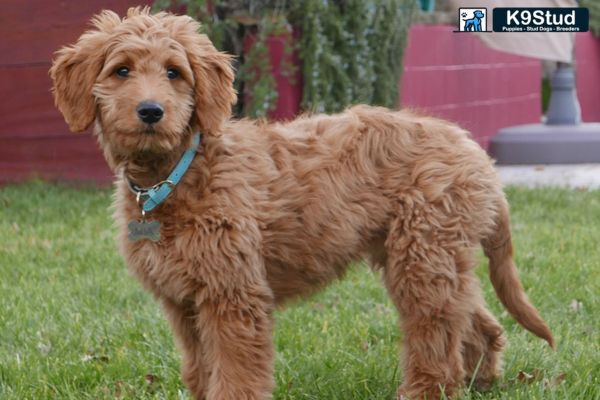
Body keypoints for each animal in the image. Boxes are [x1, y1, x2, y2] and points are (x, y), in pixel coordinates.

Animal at [49, 7, 552, 400]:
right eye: (121, 70)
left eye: (174, 71)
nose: (151, 111)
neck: (176, 174)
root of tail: (473, 150)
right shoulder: (184, 304)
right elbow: (199, 370)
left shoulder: (233, 295)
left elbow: (233, 374)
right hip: (432, 257)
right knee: (475, 320)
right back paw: (479, 381)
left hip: (423, 257)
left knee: (437, 335)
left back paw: (428, 390)